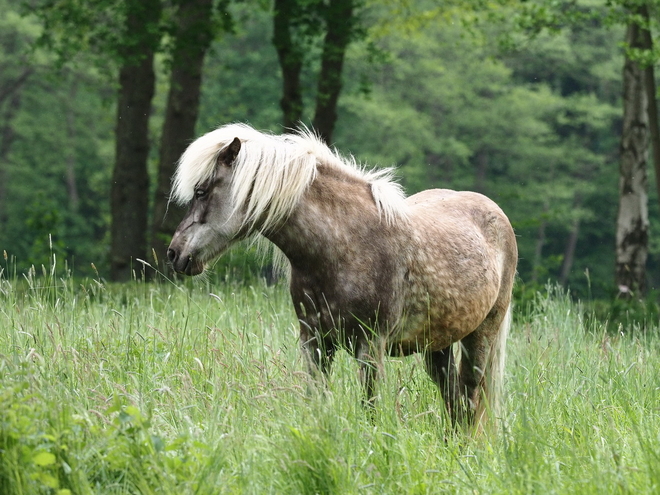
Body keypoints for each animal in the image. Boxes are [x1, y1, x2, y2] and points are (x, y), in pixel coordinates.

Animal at [165, 123, 516, 426]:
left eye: (201, 191)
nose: (174, 254)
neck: (344, 246)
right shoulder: (314, 341)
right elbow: (315, 400)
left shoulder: (370, 346)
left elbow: (369, 408)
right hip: (438, 345)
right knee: (454, 402)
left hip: (480, 336)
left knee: (469, 399)